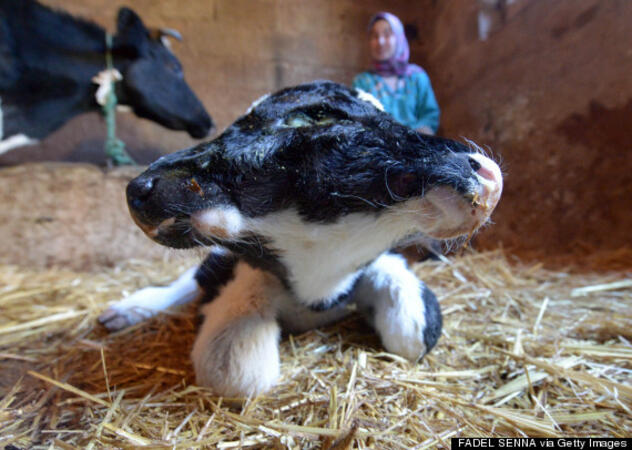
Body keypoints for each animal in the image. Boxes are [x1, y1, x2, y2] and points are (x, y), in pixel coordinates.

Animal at [99, 81, 504, 398]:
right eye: (318, 116)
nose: (488, 174)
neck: (319, 283)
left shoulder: (380, 265)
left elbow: (414, 332)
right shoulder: (240, 272)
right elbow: (238, 372)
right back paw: (127, 309)